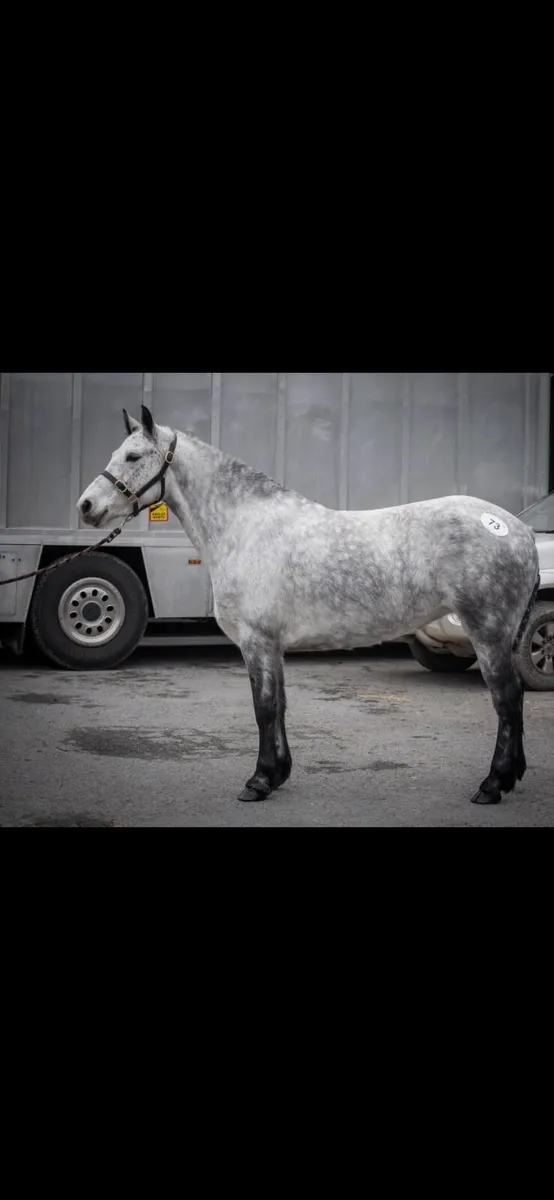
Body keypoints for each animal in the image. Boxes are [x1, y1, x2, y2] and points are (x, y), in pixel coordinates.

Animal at [78, 405, 540, 807]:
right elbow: (279, 706)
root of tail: (519, 530)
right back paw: (509, 777)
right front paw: (278, 773)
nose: (86, 507)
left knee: (507, 699)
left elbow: (263, 708)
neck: (243, 526)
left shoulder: (257, 642)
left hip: (488, 633)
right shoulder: (273, 646)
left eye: (133, 455)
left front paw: (258, 782)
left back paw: (493, 785)